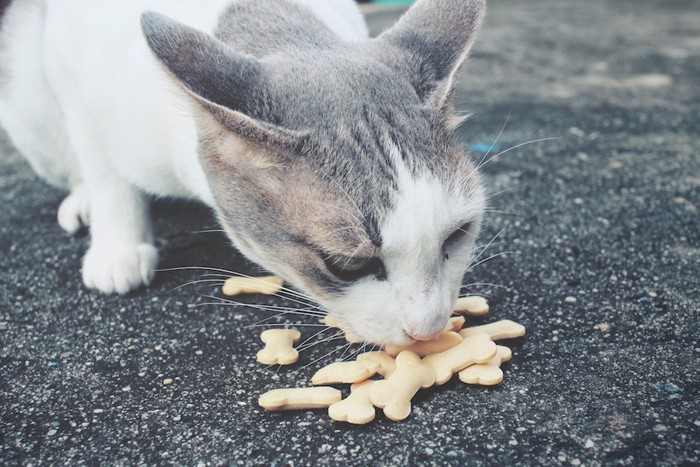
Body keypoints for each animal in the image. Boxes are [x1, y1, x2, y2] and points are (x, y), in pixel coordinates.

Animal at [1, 0, 486, 348]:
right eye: (347, 264)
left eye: (457, 234)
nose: (429, 329)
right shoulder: (72, 76)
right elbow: (104, 171)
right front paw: (118, 247)